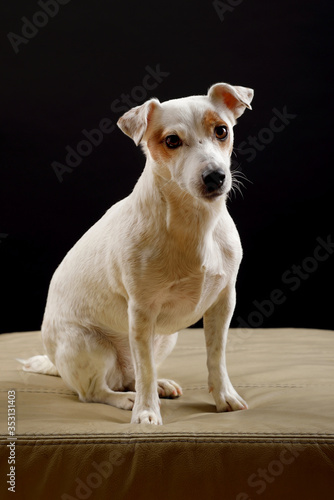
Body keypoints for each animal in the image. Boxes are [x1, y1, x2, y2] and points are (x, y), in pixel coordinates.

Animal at [20, 81, 253, 422]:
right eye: (171, 141)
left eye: (221, 131)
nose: (215, 176)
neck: (193, 221)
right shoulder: (142, 311)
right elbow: (145, 369)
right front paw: (145, 413)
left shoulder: (223, 303)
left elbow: (215, 357)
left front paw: (224, 397)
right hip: (91, 346)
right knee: (98, 391)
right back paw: (127, 399)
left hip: (165, 338)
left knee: (133, 375)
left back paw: (159, 385)